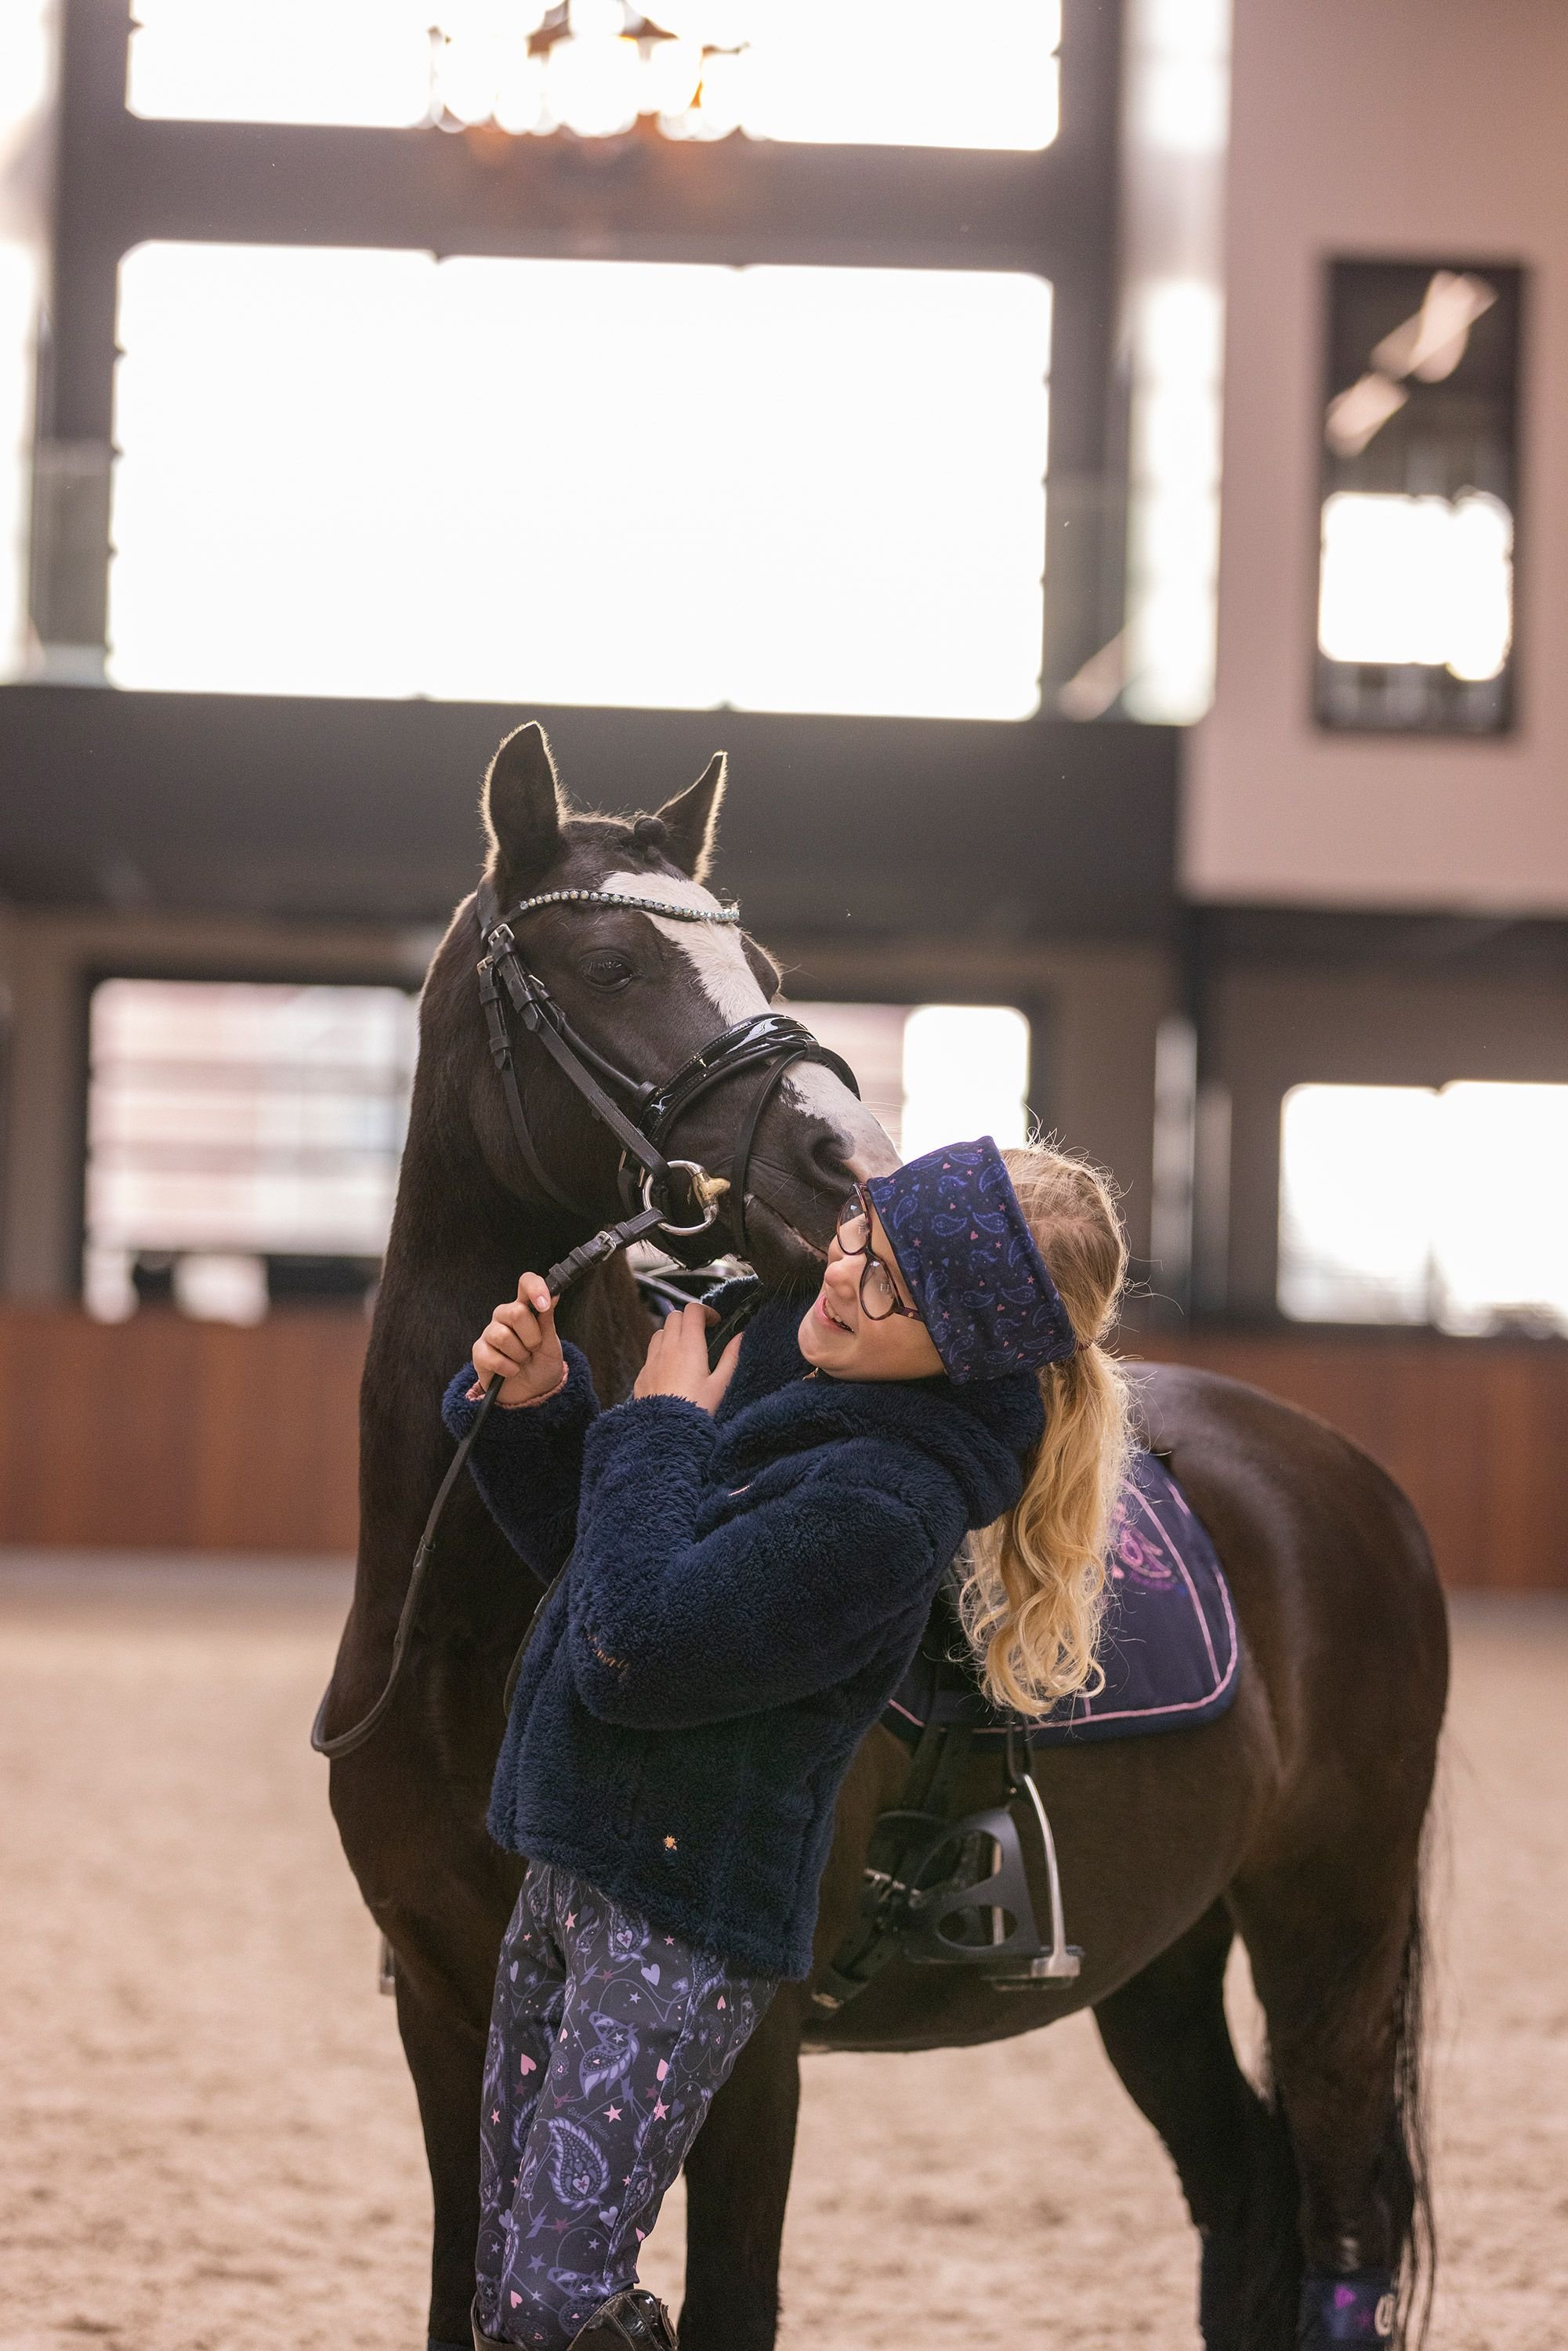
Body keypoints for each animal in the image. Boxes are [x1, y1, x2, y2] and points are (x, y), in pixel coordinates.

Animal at [320, 724, 1448, 2351]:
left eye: (763, 963)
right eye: (606, 963)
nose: (845, 1161)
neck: (476, 1625)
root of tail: (1345, 1480)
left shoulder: (747, 2052)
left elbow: (728, 2302)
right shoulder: (440, 2000)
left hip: (1330, 1938)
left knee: (1338, 2213)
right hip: (1165, 1959)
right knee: (1249, 2200)